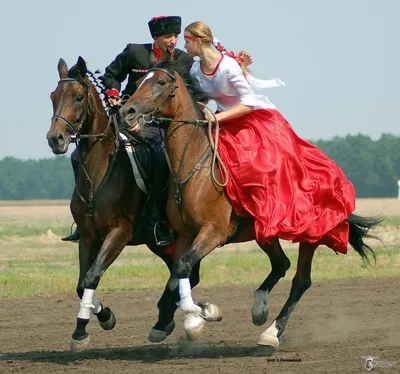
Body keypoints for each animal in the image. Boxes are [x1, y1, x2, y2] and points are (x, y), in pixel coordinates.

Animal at [47, 55, 222, 350]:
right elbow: (82, 283)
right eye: (53, 96)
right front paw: (92, 321)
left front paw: (91, 326)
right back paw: (174, 318)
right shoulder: (88, 236)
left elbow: (92, 275)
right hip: (161, 243)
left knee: (185, 273)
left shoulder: (119, 232)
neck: (99, 171)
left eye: (79, 97)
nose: (55, 138)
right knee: (184, 273)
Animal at [119, 57, 382, 348]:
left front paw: (199, 317)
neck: (195, 166)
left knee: (300, 280)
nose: (127, 111)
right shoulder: (185, 235)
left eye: (161, 82)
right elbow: (176, 275)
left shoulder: (213, 232)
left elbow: (184, 268)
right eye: (140, 80)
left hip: (309, 234)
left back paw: (272, 332)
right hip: (264, 232)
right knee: (281, 264)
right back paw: (259, 308)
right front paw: (189, 317)